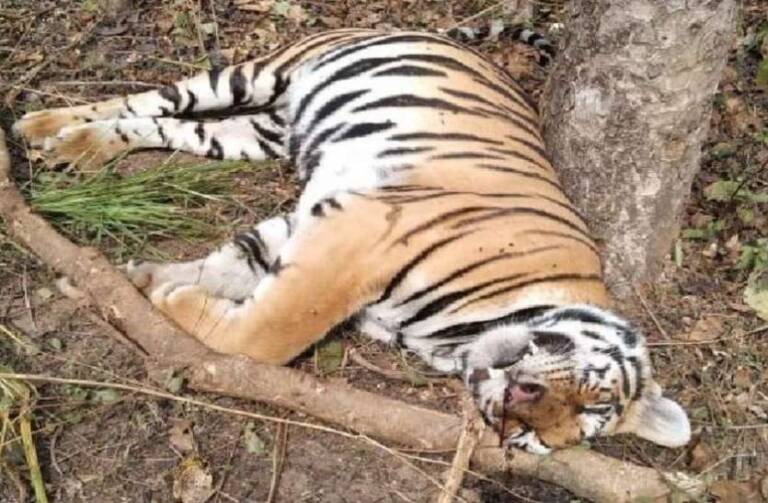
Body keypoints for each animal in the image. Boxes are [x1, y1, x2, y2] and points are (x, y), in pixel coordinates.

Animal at [13, 25, 690, 454]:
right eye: (591, 396)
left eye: (532, 439)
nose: (519, 401)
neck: (451, 340)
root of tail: (445, 33)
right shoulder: (360, 239)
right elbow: (268, 335)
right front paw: (166, 300)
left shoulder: (322, 220)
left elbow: (235, 266)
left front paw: (147, 281)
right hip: (261, 75)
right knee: (156, 96)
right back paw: (43, 125)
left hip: (257, 131)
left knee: (161, 125)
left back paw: (72, 142)